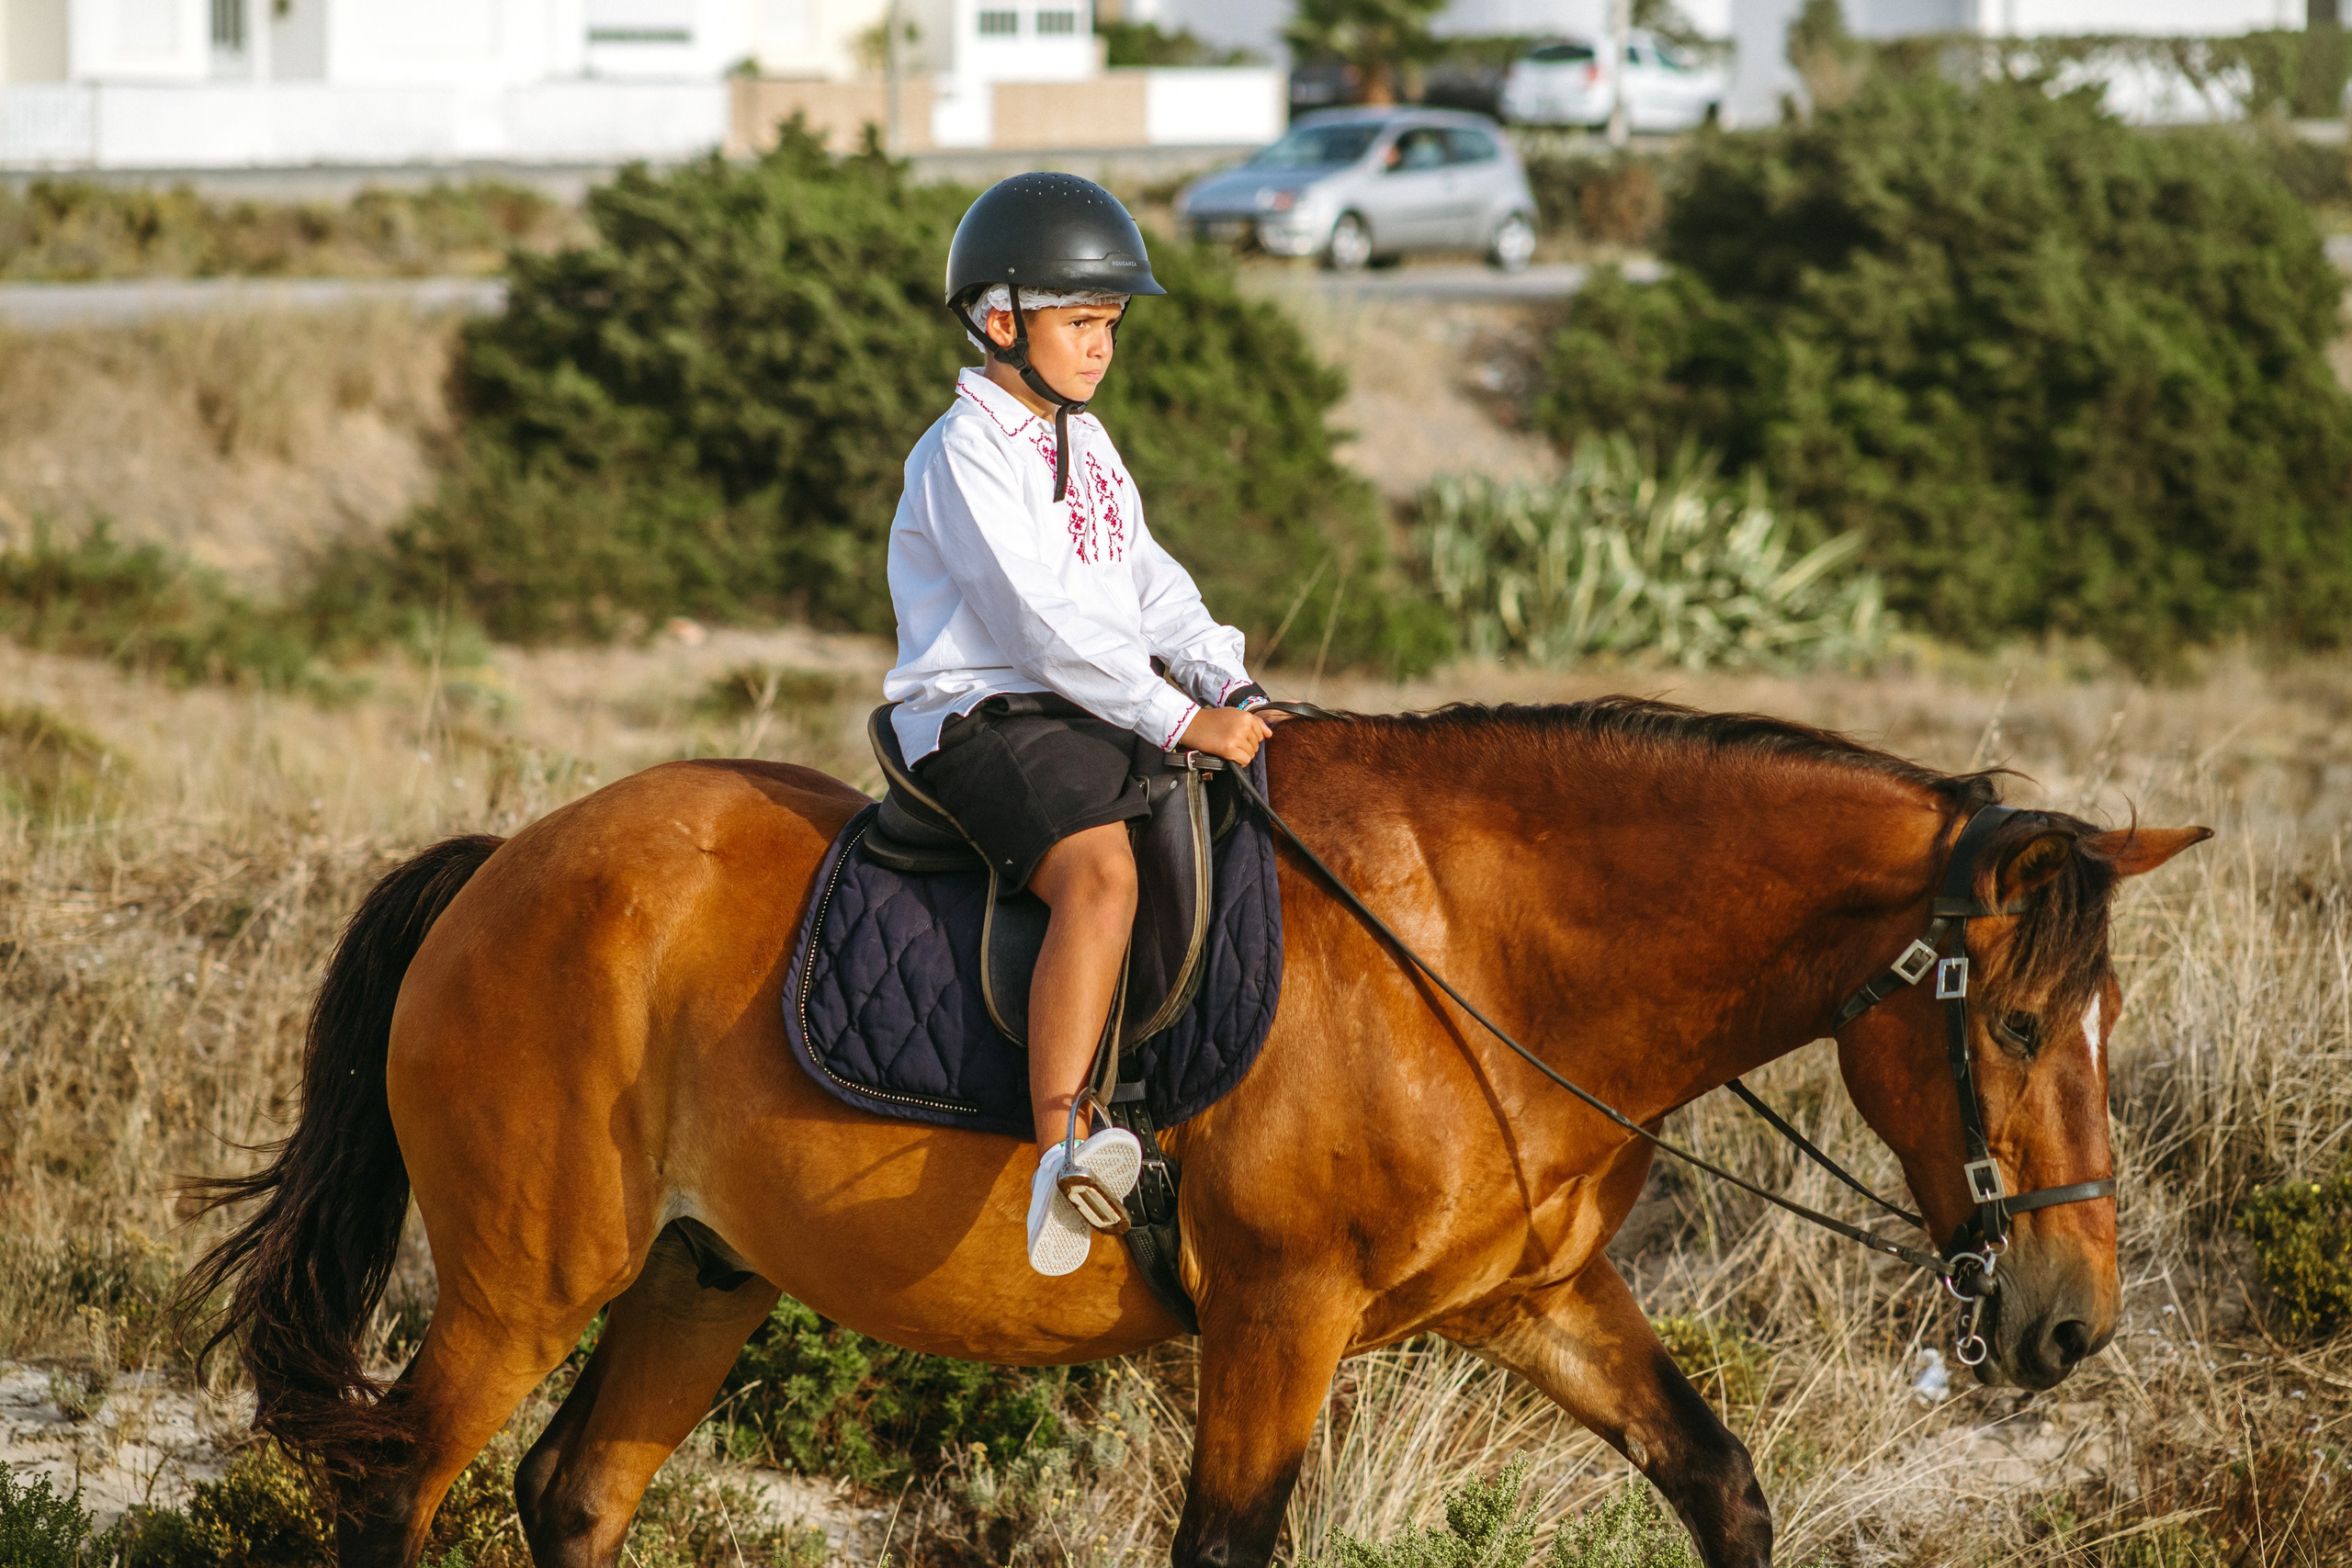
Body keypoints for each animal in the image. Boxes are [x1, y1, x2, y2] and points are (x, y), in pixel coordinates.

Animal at [180, 698, 2209, 1568]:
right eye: (2013, 1024)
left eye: (2100, 1026)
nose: (2065, 1323)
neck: (1478, 950)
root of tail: (502, 863)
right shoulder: (1277, 1320)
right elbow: (1229, 1550)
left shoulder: (1534, 1301)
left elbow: (1719, 1485)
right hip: (528, 1277)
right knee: (391, 1486)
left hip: (699, 1273)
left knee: (574, 1496)